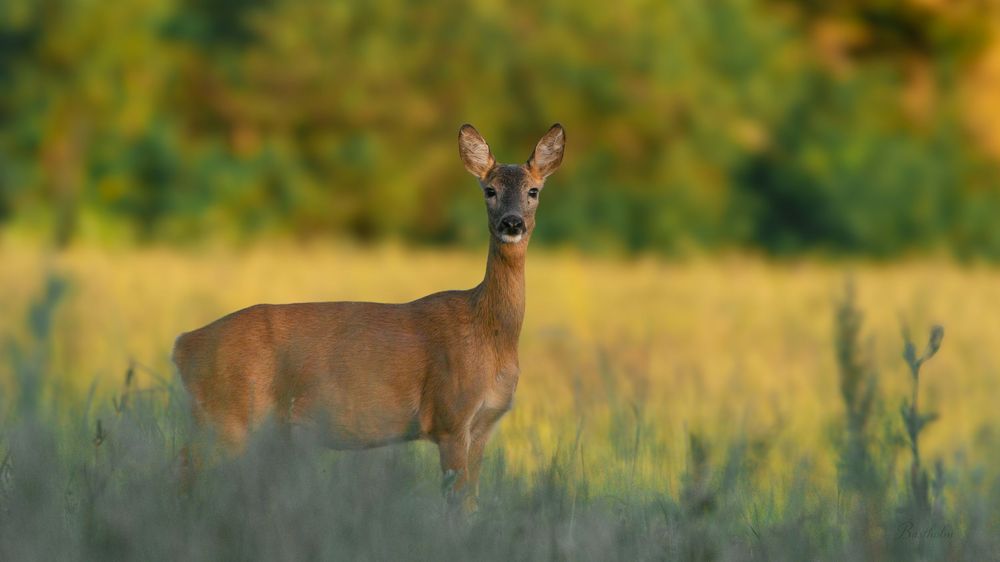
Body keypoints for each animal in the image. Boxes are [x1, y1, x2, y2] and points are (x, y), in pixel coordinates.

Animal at [172, 123, 565, 511]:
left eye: (533, 190)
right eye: (489, 190)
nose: (511, 223)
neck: (490, 333)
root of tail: (183, 345)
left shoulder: (483, 425)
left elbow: (470, 505)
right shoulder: (450, 416)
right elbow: (455, 506)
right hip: (227, 413)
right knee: (185, 465)